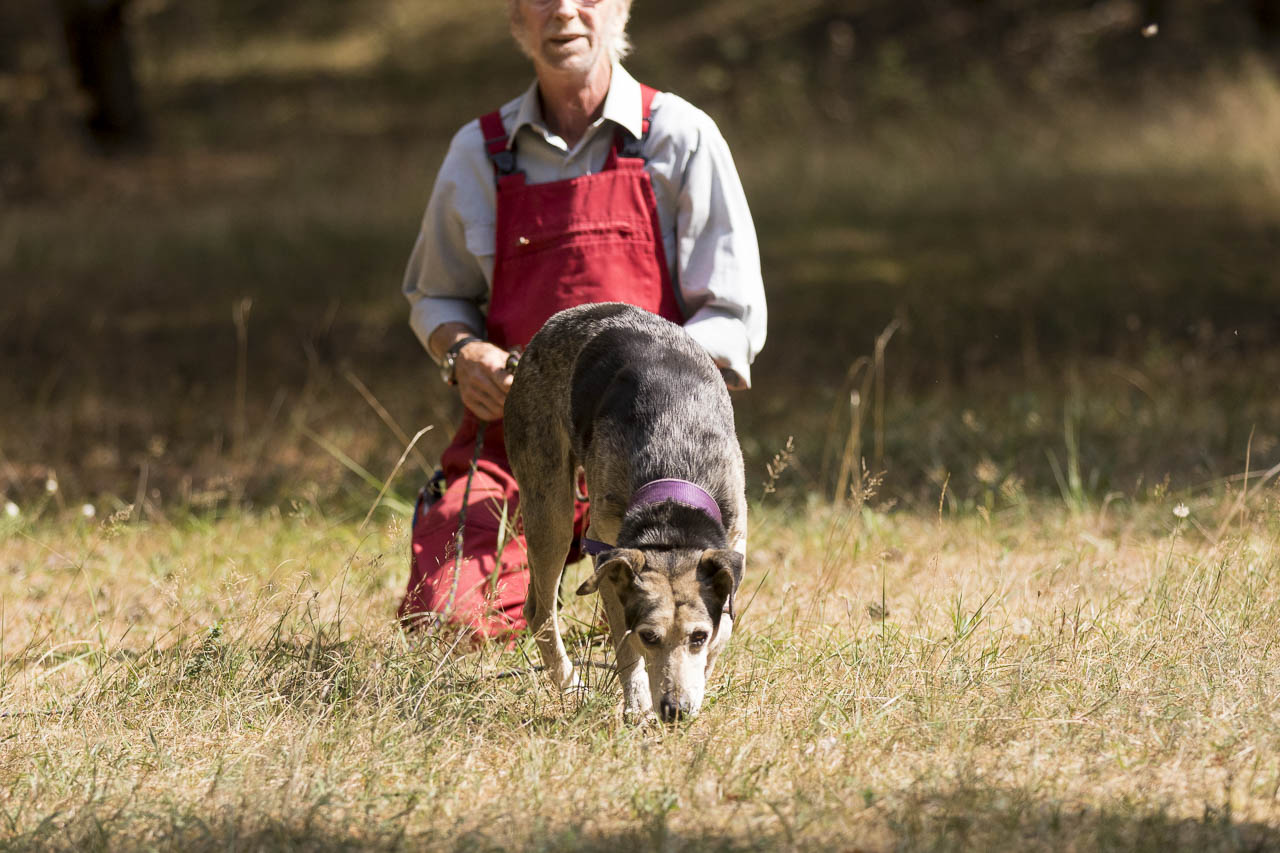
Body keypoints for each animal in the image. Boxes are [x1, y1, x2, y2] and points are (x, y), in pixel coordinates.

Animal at [504, 303, 747, 723]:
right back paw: (570, 685)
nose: (675, 710)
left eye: (698, 636)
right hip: (551, 506)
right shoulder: (607, 557)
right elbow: (626, 648)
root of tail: (563, 318)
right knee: (539, 609)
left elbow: (725, 628)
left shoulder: (733, 540)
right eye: (650, 636)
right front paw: (637, 705)